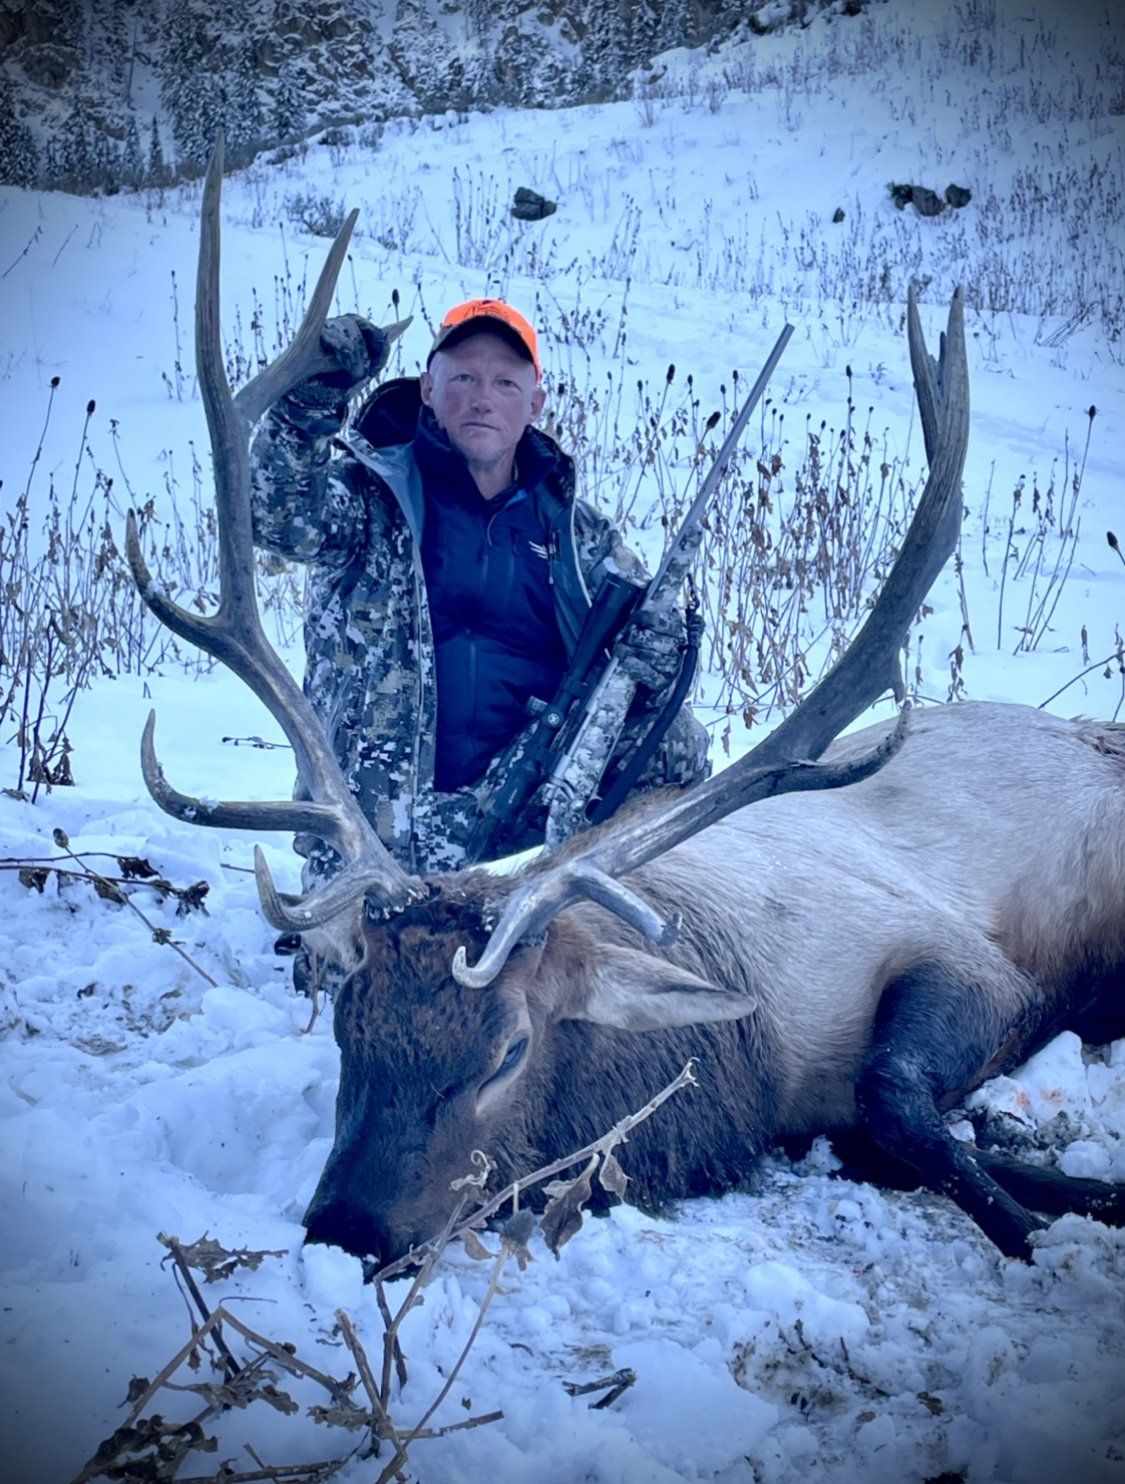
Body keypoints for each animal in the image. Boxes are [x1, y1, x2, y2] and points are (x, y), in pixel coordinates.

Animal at [127, 141, 1125, 1270]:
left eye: (509, 1046)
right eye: (351, 1022)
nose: (347, 1230)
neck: (758, 1057)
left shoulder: (961, 959)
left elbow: (892, 1099)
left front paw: (1042, 1217)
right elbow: (881, 1129)